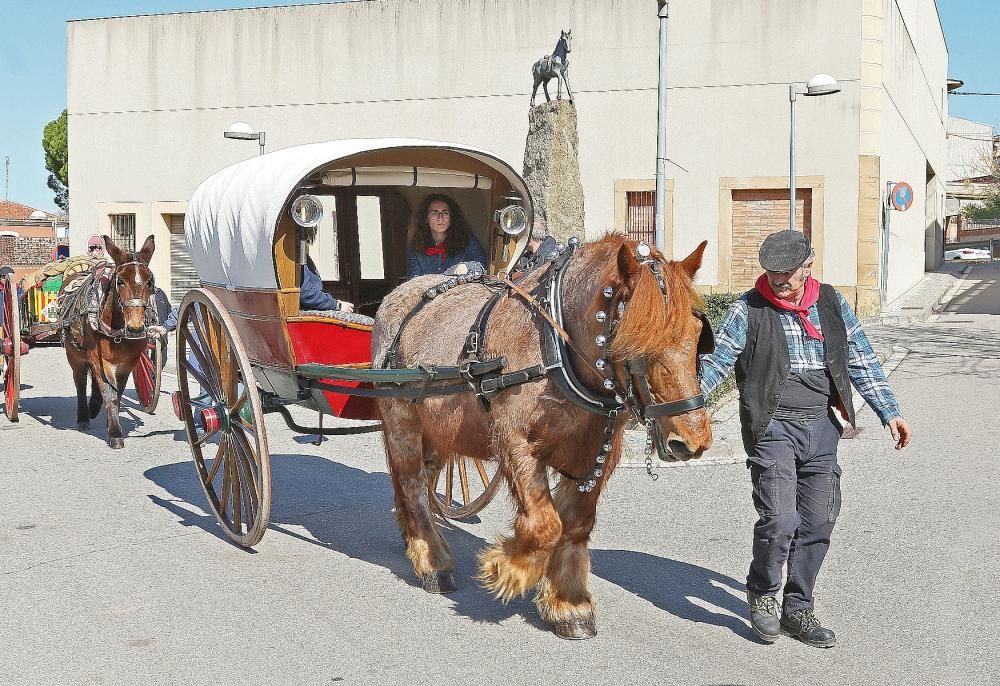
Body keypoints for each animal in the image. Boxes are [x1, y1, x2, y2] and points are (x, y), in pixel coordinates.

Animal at [60, 236, 156, 452]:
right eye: (120, 281)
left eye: (150, 281)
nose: (136, 327)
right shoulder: (97, 356)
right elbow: (109, 391)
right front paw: (115, 434)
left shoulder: (128, 363)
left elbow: (117, 393)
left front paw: (112, 422)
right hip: (74, 355)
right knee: (80, 381)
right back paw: (84, 416)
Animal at [374, 235, 712, 640]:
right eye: (637, 343)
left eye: (697, 335)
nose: (692, 441)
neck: (556, 349)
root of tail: (397, 294)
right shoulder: (516, 443)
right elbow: (545, 524)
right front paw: (505, 568)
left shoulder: (596, 453)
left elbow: (576, 524)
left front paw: (568, 604)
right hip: (401, 419)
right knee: (411, 482)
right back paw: (432, 562)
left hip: (440, 432)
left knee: (420, 479)